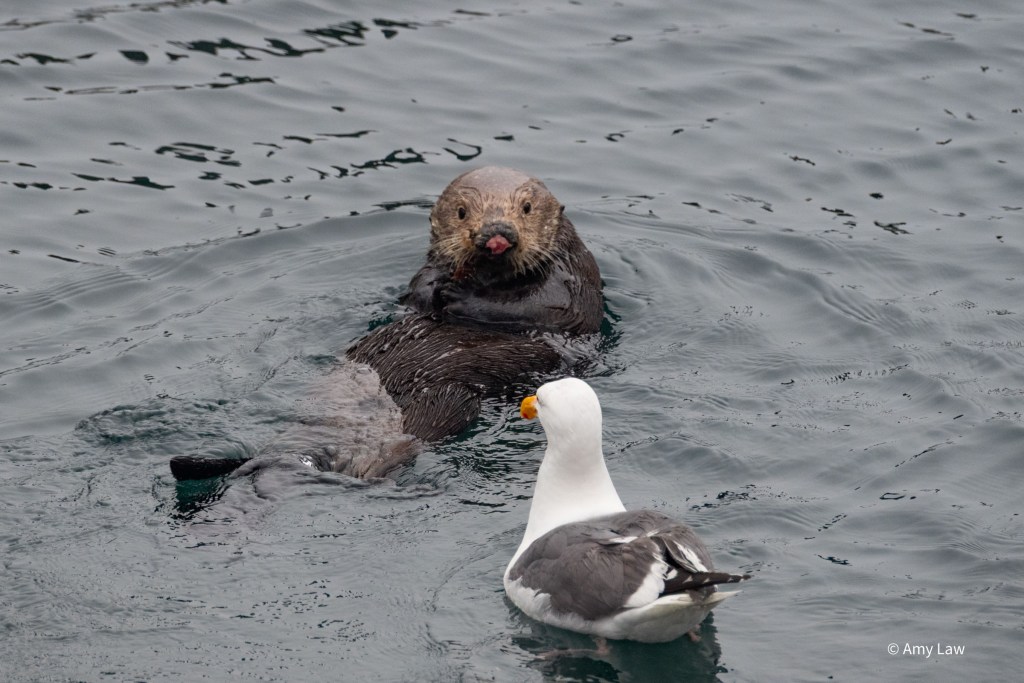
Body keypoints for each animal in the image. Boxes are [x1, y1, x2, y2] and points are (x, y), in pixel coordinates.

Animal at [170, 167, 602, 481]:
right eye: (463, 212)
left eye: (525, 207)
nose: (497, 232)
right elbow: (417, 290)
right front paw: (434, 289)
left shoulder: (568, 277)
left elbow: (542, 307)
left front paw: (455, 296)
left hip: (447, 400)